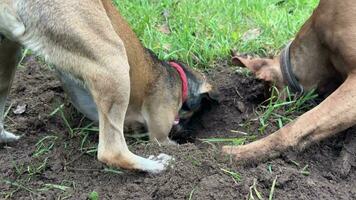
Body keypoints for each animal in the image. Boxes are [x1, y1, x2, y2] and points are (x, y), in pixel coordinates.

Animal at [0, 0, 214, 173]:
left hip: (8, 57)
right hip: (112, 59)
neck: (177, 77)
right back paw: (156, 166)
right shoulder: (158, 136)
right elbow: (163, 141)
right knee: (112, 151)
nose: (185, 131)